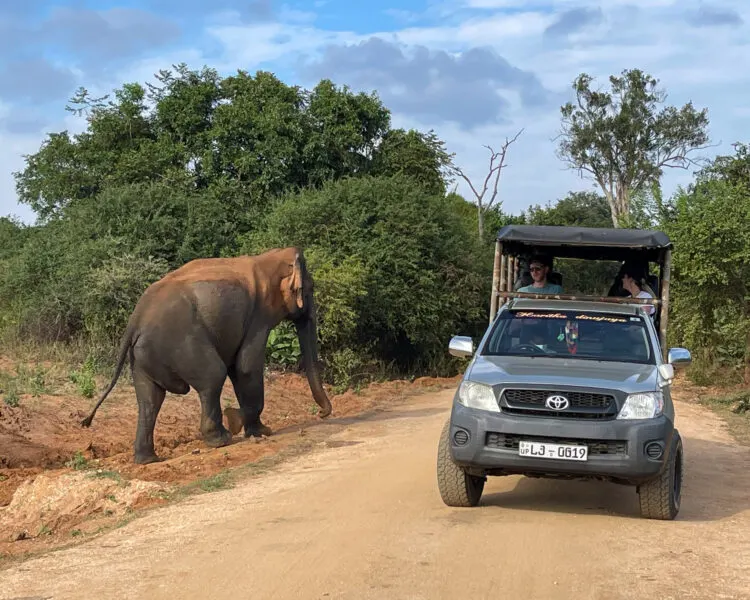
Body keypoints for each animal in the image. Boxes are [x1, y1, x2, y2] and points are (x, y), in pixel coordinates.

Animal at [78, 246, 332, 466]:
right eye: (309, 289)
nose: (321, 414)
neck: (268, 258)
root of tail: (135, 320)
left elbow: (238, 368)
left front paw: (252, 428)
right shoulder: (258, 317)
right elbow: (246, 366)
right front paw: (252, 427)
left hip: (141, 356)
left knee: (150, 398)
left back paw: (147, 459)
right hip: (183, 342)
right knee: (212, 376)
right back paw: (221, 439)